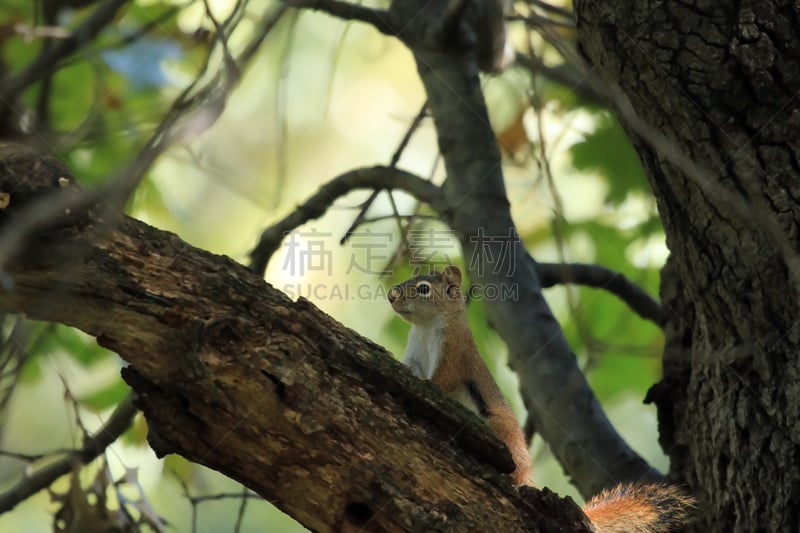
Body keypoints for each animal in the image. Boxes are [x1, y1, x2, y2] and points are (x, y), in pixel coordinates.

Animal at [390, 266, 692, 532]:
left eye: (423, 288)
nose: (392, 295)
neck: (425, 328)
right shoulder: (414, 354)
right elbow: (411, 367)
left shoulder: (454, 354)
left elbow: (440, 381)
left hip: (497, 427)